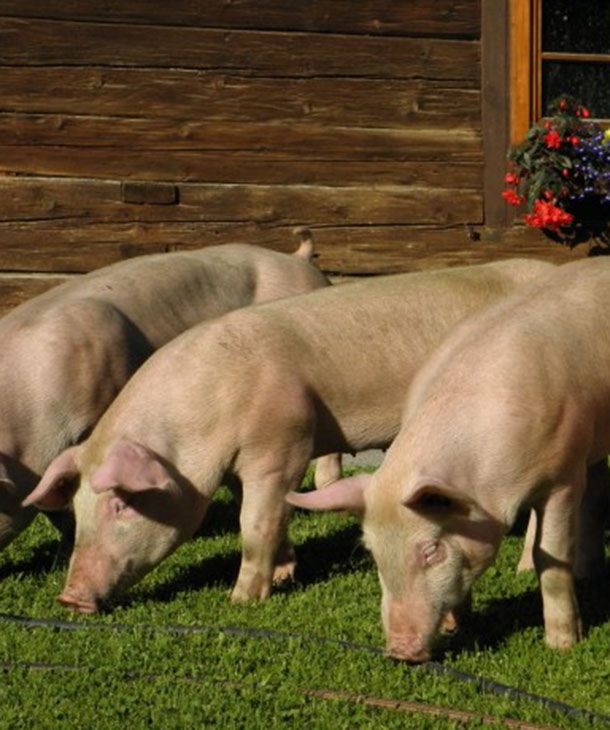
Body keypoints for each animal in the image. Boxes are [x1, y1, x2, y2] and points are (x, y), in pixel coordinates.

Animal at [24, 258, 556, 613]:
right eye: (78, 509)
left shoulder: (282, 444)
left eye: (120, 503)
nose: (69, 597)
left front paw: (241, 601)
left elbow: (255, 522)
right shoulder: (240, 466)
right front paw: (284, 571)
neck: (209, 408)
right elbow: (265, 516)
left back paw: (525, 570)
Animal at [289, 256, 610, 662]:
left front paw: (562, 646)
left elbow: (551, 558)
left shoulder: (564, 476)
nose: (399, 651)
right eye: (373, 553)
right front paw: (457, 627)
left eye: (431, 550)